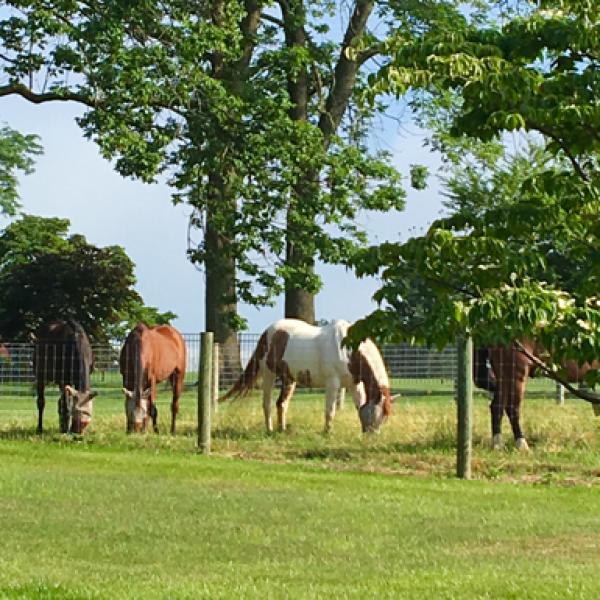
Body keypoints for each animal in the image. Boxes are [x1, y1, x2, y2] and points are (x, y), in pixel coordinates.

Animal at [220, 318, 394, 432]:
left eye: (386, 417)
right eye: (378, 413)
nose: (370, 437)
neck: (348, 349)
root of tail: (267, 332)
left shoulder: (354, 384)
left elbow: (359, 406)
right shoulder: (332, 383)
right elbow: (330, 410)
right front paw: (327, 432)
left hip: (289, 379)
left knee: (281, 403)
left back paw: (282, 430)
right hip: (268, 374)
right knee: (267, 403)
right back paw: (269, 429)